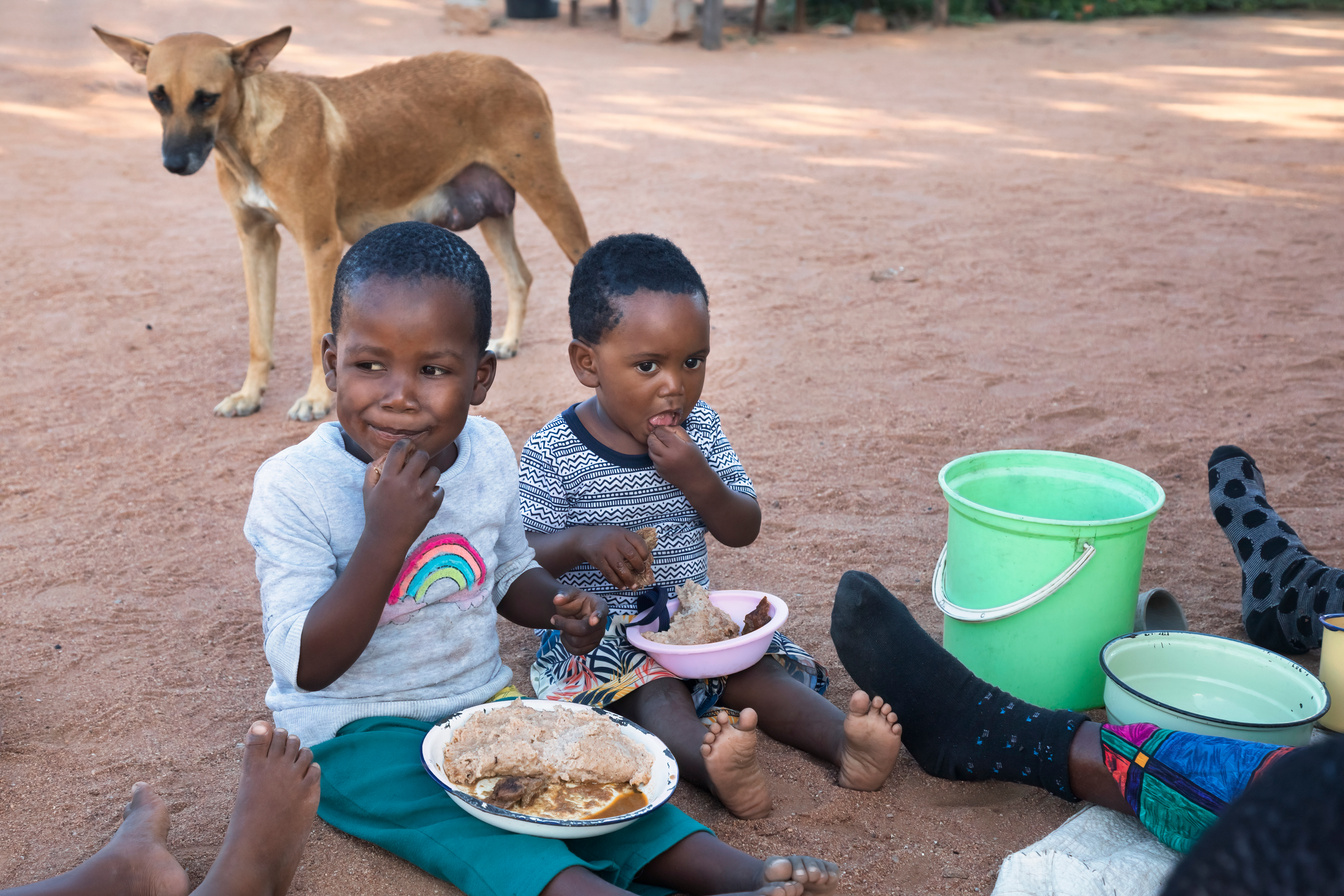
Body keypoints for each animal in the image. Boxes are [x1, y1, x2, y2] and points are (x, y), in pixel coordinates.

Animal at [97, 27, 591, 421]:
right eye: (157, 96)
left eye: (207, 98)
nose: (174, 163)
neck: (251, 139)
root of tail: (518, 71)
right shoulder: (255, 243)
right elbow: (259, 333)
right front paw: (249, 394)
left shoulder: (319, 247)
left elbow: (320, 331)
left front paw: (317, 399)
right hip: (491, 211)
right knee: (521, 275)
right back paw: (508, 341)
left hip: (548, 194)